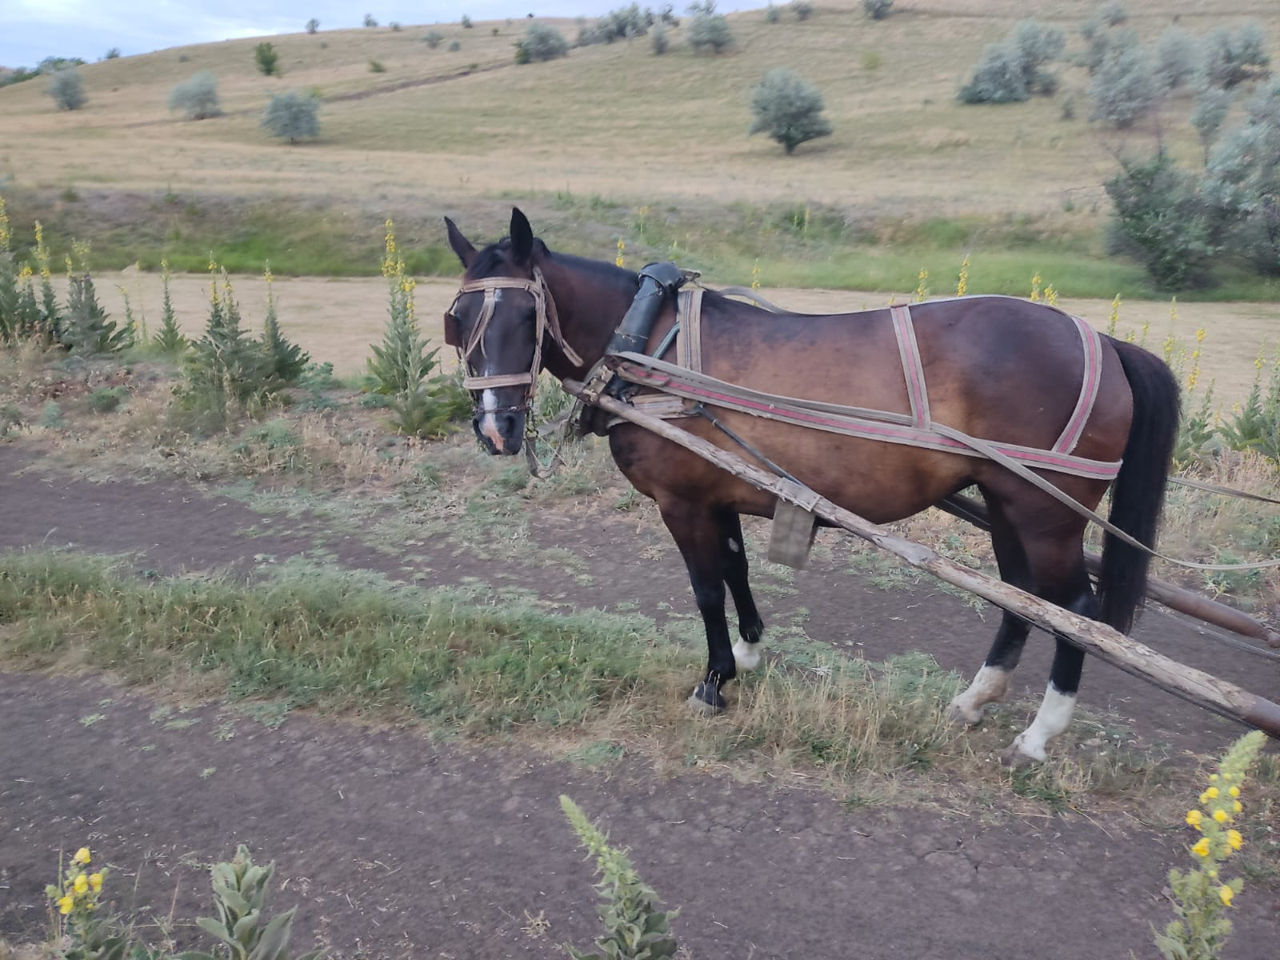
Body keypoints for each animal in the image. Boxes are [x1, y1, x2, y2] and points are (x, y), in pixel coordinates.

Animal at [442, 207, 1177, 762]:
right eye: (458, 324)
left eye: (523, 318)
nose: (497, 428)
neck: (650, 344)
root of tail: (1104, 341)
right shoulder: (721, 495)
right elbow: (736, 571)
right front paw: (748, 654)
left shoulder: (684, 503)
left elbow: (706, 588)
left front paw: (713, 683)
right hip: (1005, 503)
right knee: (1022, 598)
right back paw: (975, 701)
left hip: (1044, 512)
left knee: (1074, 611)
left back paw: (1038, 735)